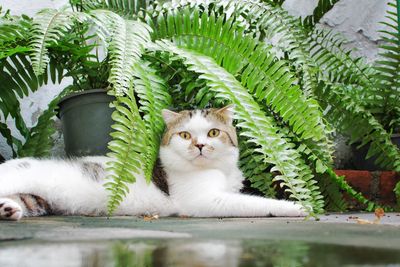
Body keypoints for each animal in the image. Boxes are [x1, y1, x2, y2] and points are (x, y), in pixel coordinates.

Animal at [0, 105, 306, 221]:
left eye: (213, 133)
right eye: (185, 135)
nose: (199, 145)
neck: (218, 169)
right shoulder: (206, 201)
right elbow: (257, 202)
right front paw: (300, 207)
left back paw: (9, 210)